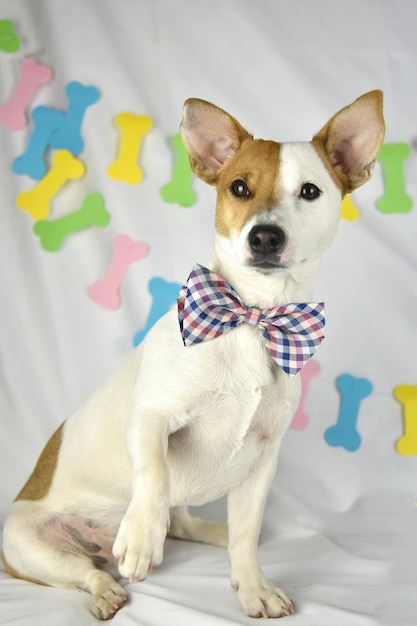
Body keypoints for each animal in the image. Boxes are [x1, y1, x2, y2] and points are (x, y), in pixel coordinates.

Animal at [1, 90, 384, 616]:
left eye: (310, 192)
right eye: (239, 187)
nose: (265, 236)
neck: (250, 318)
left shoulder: (262, 461)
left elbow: (244, 535)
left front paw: (253, 586)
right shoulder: (151, 418)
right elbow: (154, 474)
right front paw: (141, 538)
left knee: (182, 522)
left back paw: (210, 530)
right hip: (26, 541)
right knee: (86, 569)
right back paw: (106, 586)